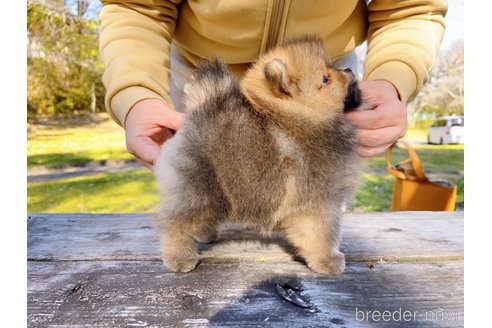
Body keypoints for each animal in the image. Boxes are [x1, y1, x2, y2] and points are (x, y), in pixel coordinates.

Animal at [156, 36, 364, 276]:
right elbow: (320, 233)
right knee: (175, 223)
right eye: (325, 78)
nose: (348, 69)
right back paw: (180, 258)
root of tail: (199, 110)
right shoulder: (316, 200)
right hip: (198, 186)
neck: (303, 116)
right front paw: (327, 260)